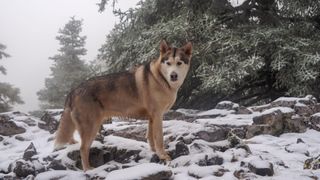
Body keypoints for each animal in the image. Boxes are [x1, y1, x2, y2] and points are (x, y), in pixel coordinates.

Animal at [54, 39, 192, 170]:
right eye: (168, 63)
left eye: (179, 63)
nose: (173, 75)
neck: (160, 78)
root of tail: (73, 90)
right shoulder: (158, 116)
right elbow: (159, 139)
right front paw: (163, 156)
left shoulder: (152, 118)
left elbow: (150, 137)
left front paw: (154, 152)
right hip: (91, 127)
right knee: (83, 149)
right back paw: (88, 169)